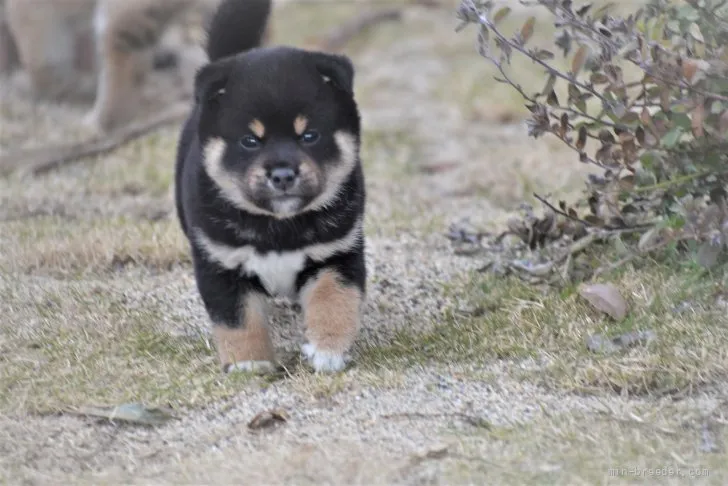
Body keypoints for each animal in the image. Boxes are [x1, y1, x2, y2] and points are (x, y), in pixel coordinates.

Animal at [176, 0, 366, 374]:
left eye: (310, 136)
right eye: (250, 141)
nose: (282, 174)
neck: (279, 228)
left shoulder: (337, 253)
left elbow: (334, 301)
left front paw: (327, 351)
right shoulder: (220, 264)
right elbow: (238, 321)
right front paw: (249, 363)